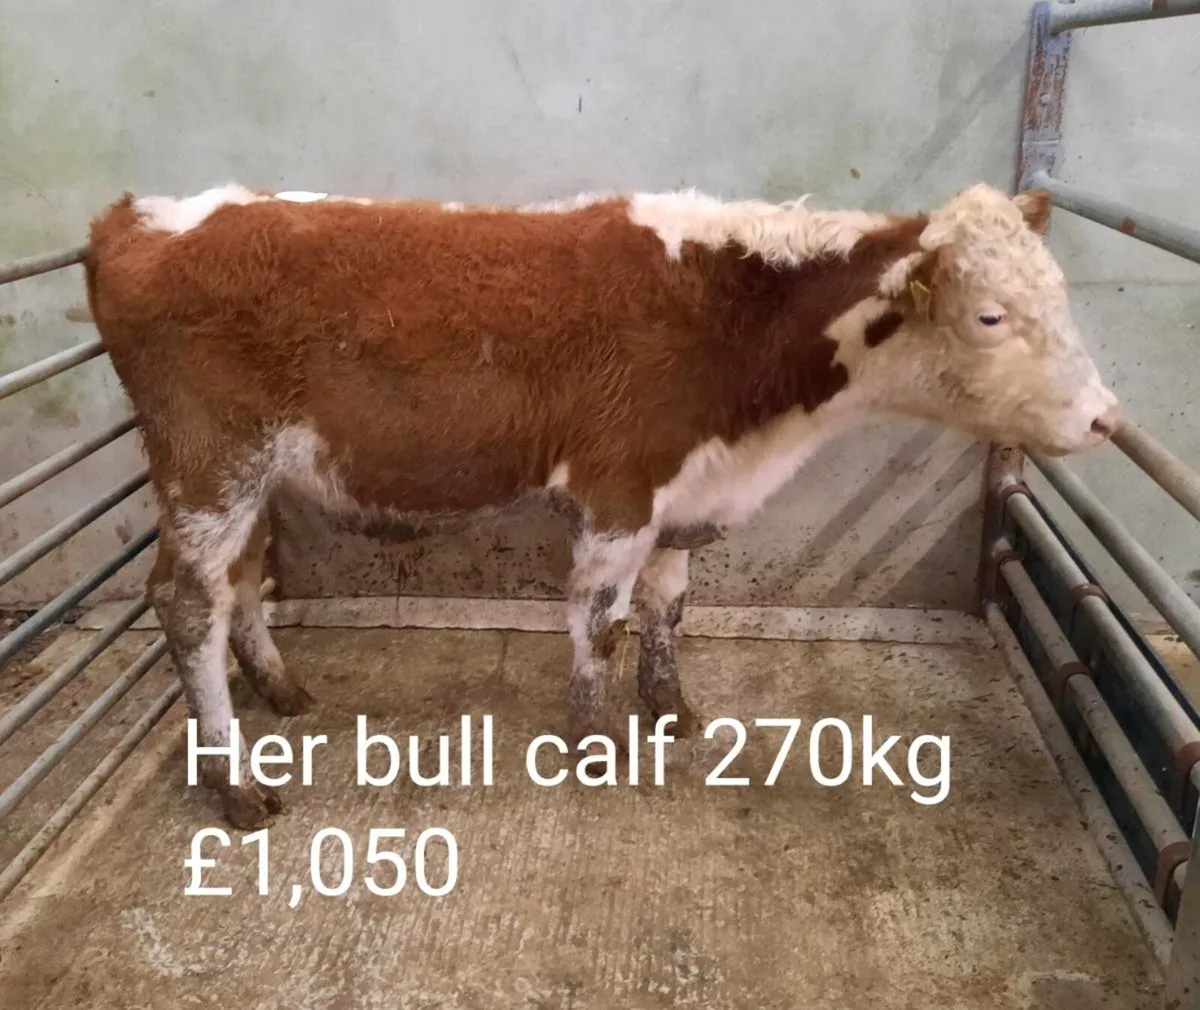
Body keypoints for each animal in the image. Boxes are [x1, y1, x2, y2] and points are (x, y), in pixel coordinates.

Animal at [82, 181, 1121, 828]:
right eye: (989, 315)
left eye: (1063, 296)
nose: (1107, 418)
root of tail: (138, 217)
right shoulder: (619, 484)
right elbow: (599, 617)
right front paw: (592, 744)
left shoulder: (684, 490)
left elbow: (667, 605)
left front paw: (671, 710)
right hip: (210, 464)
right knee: (187, 602)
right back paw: (233, 785)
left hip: (246, 480)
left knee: (241, 582)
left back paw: (281, 691)